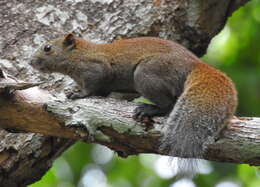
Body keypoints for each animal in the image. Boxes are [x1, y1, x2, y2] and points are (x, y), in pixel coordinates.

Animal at [30, 33, 238, 172]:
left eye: (48, 48)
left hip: (146, 74)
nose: (31, 62)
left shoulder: (96, 68)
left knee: (169, 104)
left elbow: (93, 85)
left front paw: (78, 93)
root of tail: (193, 64)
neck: (79, 55)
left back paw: (149, 109)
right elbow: (102, 91)